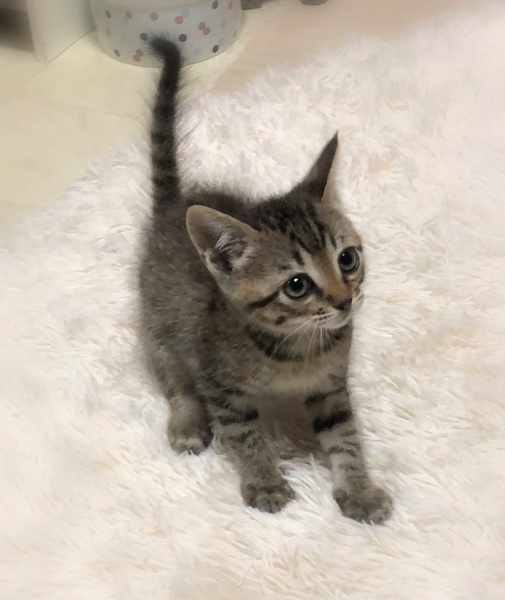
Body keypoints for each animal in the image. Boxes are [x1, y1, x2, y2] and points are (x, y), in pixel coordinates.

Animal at [138, 38, 392, 522]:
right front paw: (265, 481)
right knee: (174, 378)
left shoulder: (332, 387)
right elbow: (245, 436)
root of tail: (173, 206)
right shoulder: (222, 387)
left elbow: (345, 435)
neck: (297, 350)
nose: (344, 301)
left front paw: (359, 490)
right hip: (160, 322)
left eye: (347, 259)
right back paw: (187, 421)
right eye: (297, 286)